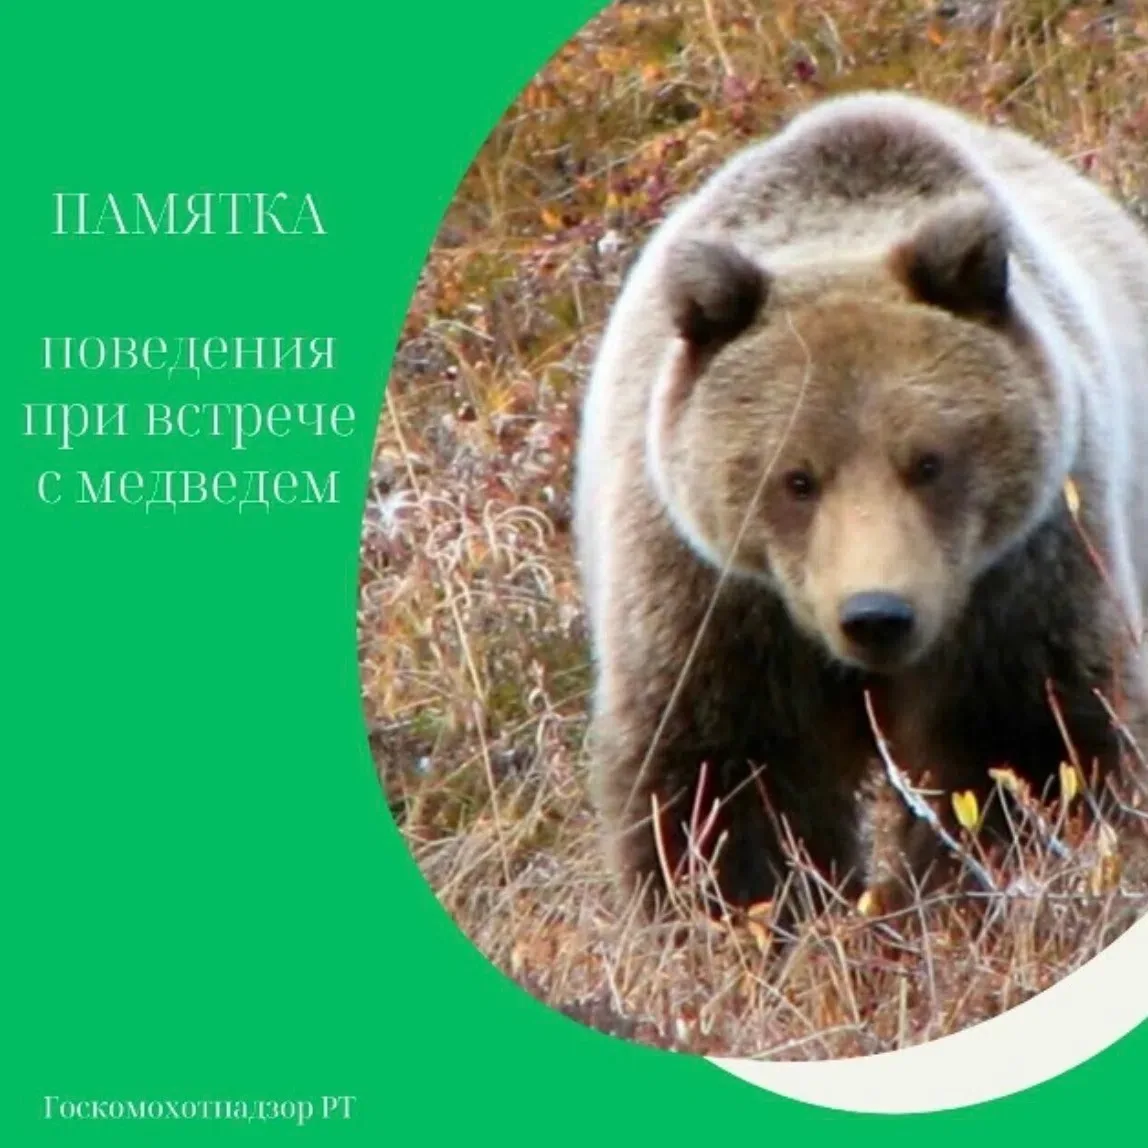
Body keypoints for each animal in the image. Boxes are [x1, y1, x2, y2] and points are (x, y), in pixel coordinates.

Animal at [572, 90, 1148, 920]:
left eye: (929, 462)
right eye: (796, 478)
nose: (877, 614)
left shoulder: (1020, 577)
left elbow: (1024, 748)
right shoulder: (715, 600)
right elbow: (725, 782)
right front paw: (746, 913)